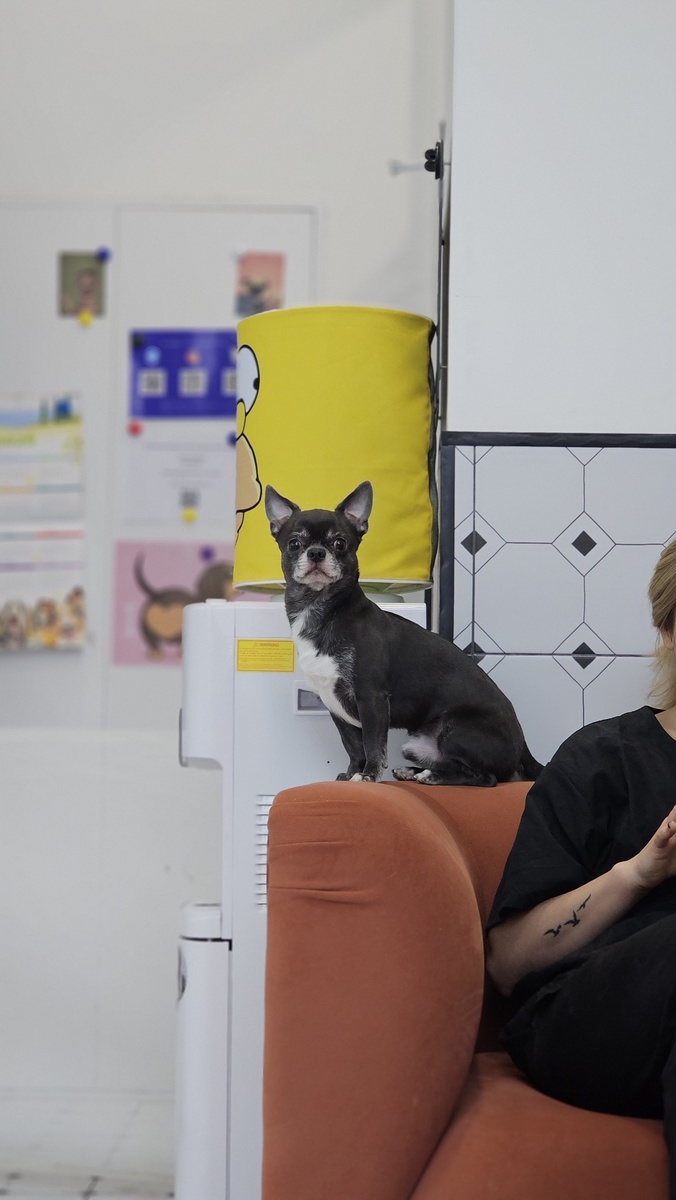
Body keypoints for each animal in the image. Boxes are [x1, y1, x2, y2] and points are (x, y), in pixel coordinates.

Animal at [265, 480, 543, 786]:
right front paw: (351, 774)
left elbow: (373, 744)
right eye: (294, 543)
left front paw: (369, 776)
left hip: (455, 731)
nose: (316, 552)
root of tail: (523, 747)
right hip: (416, 745)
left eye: (340, 543)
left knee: (487, 777)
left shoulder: (372, 698)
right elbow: (353, 746)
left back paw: (432, 776)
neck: (320, 610)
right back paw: (415, 771)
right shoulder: (335, 707)